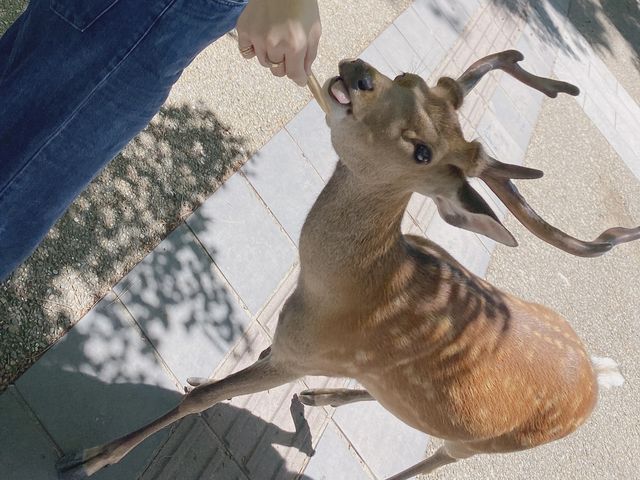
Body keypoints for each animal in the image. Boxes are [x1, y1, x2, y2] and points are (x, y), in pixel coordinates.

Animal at [56, 49, 636, 480]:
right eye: (410, 79)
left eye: (422, 152)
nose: (359, 74)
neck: (337, 291)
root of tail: (597, 374)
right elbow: (229, 376)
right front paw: (200, 375)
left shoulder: (300, 356)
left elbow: (201, 402)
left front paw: (87, 458)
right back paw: (319, 396)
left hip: (484, 445)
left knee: (436, 460)